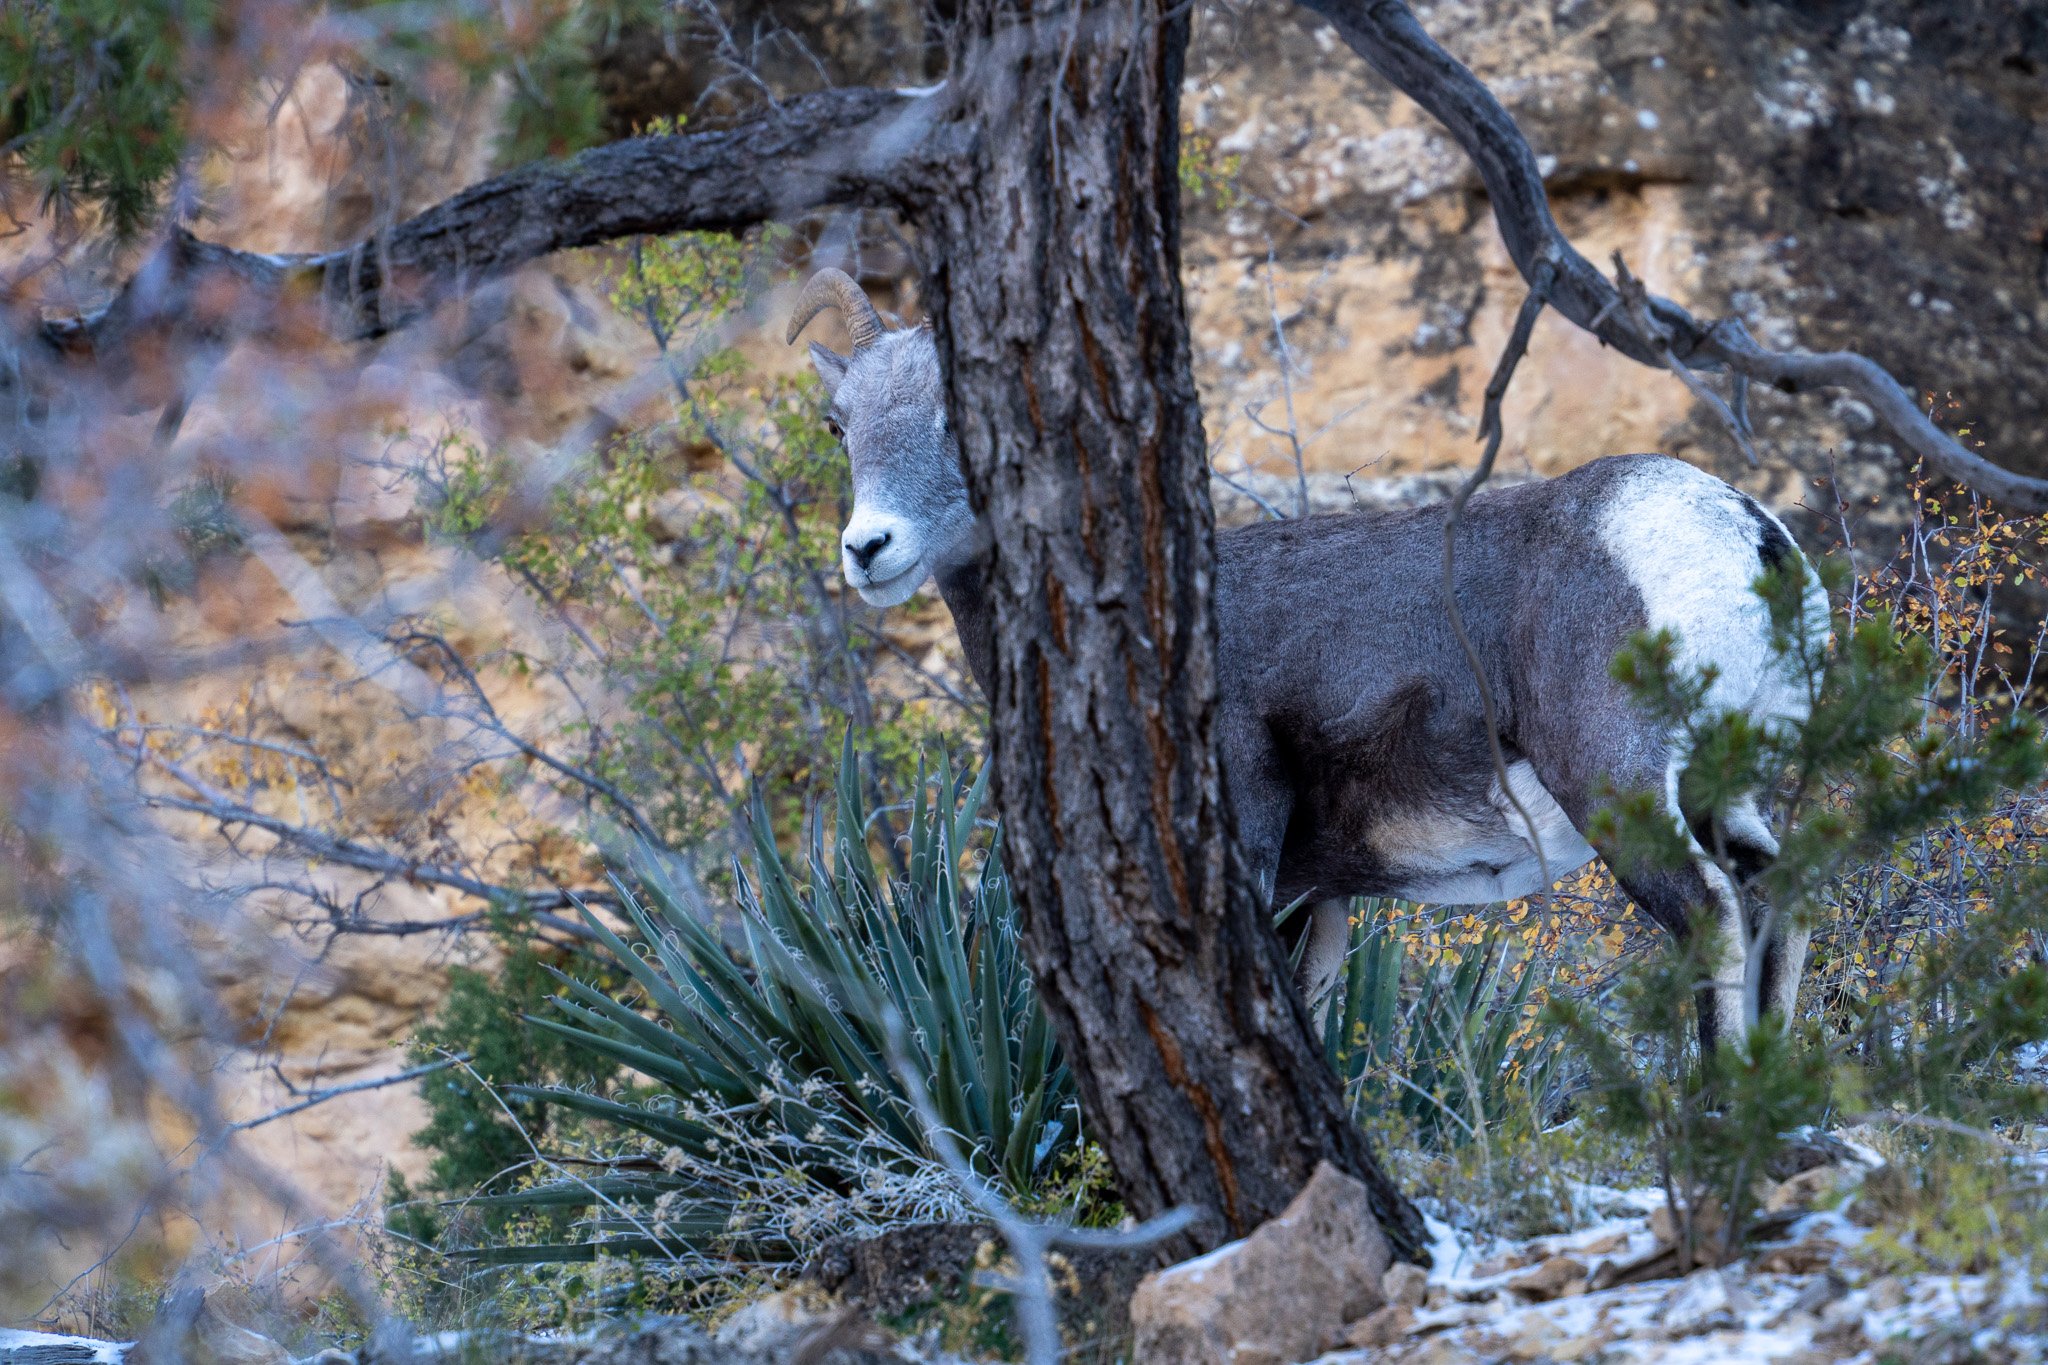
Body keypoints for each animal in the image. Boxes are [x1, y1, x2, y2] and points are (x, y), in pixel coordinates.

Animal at [788, 267, 1830, 1049]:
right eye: (841, 424)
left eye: (958, 419)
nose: (867, 547)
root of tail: (1742, 528)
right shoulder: (1320, 901)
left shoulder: (1254, 856)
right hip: (1724, 788)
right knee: (1777, 893)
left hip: (1617, 784)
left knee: (1710, 912)